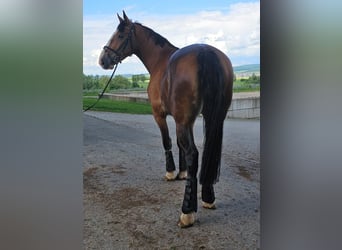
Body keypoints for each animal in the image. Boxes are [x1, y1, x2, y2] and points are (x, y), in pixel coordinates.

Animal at [97, 11, 234, 227]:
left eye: (120, 35)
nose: (103, 59)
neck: (159, 61)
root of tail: (205, 52)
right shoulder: (186, 120)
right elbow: (179, 145)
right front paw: (182, 173)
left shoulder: (160, 115)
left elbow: (168, 142)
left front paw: (171, 172)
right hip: (214, 118)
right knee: (208, 152)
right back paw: (208, 198)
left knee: (194, 154)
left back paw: (187, 212)